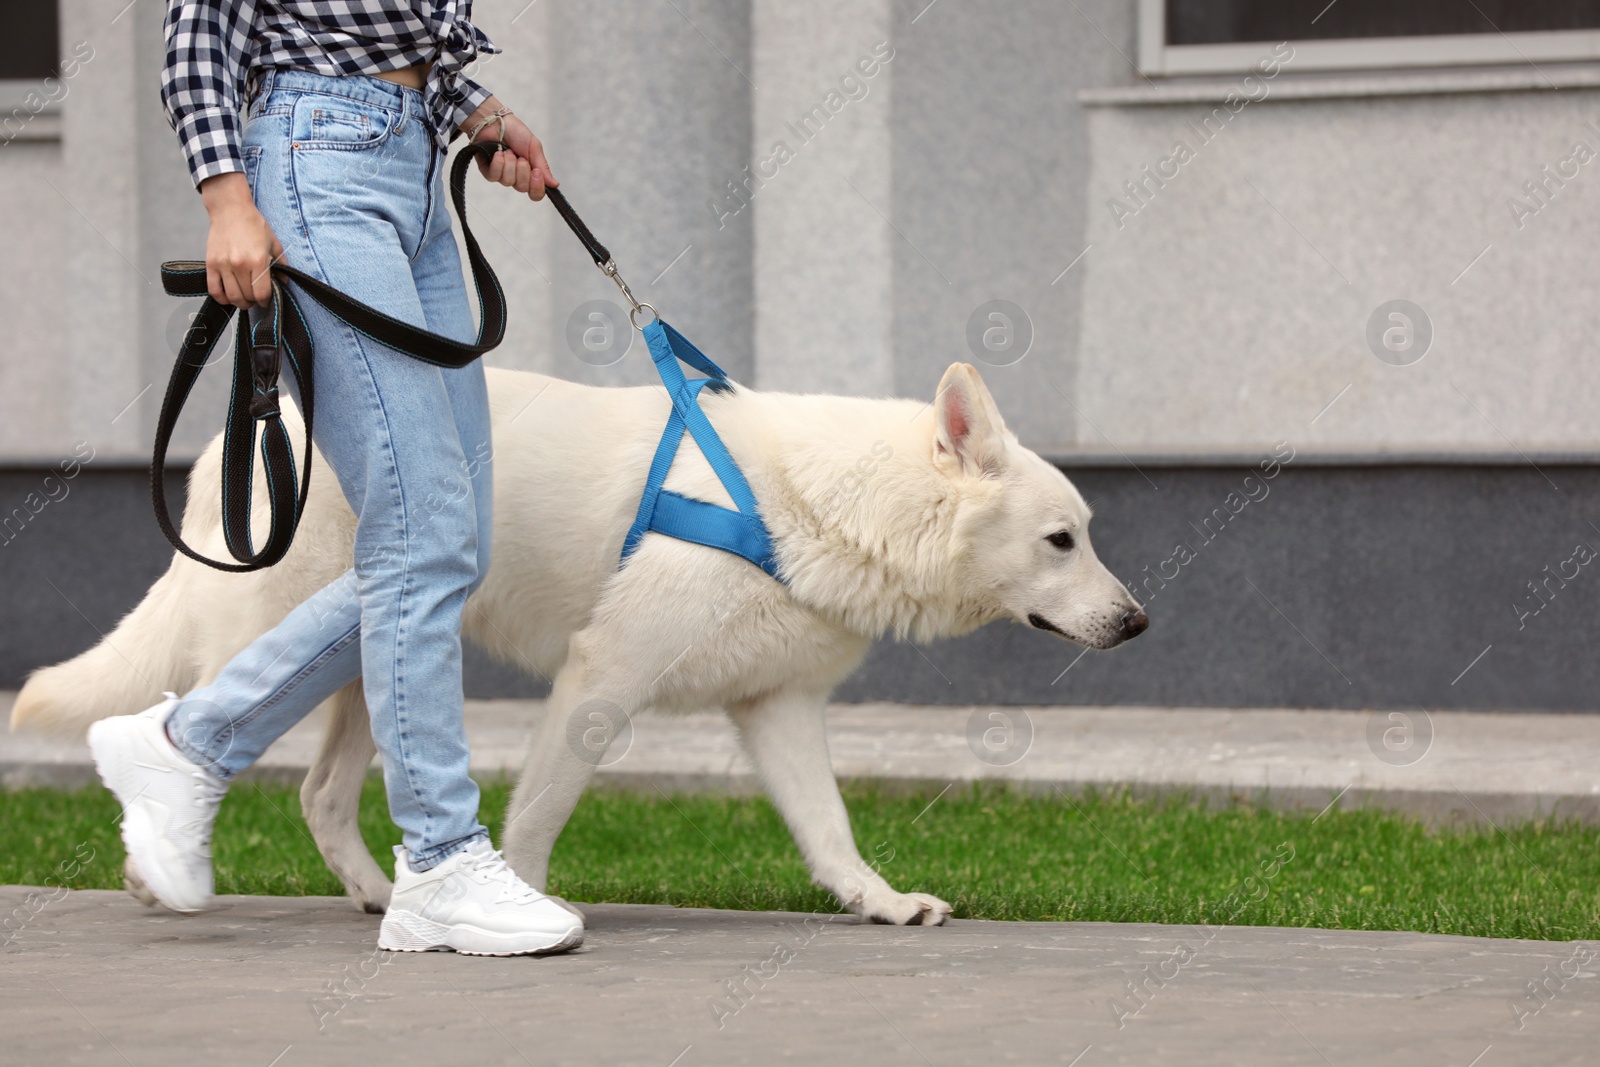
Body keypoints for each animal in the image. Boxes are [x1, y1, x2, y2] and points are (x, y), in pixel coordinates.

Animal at [9, 361, 1139, 927]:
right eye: (1061, 539)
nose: (1136, 623)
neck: (814, 502)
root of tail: (243, 429)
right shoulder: (603, 681)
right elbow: (541, 814)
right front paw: (522, 899)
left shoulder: (777, 711)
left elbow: (830, 832)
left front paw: (880, 902)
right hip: (298, 632)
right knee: (195, 721)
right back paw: (159, 859)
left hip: (376, 661)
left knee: (318, 794)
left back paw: (376, 890)